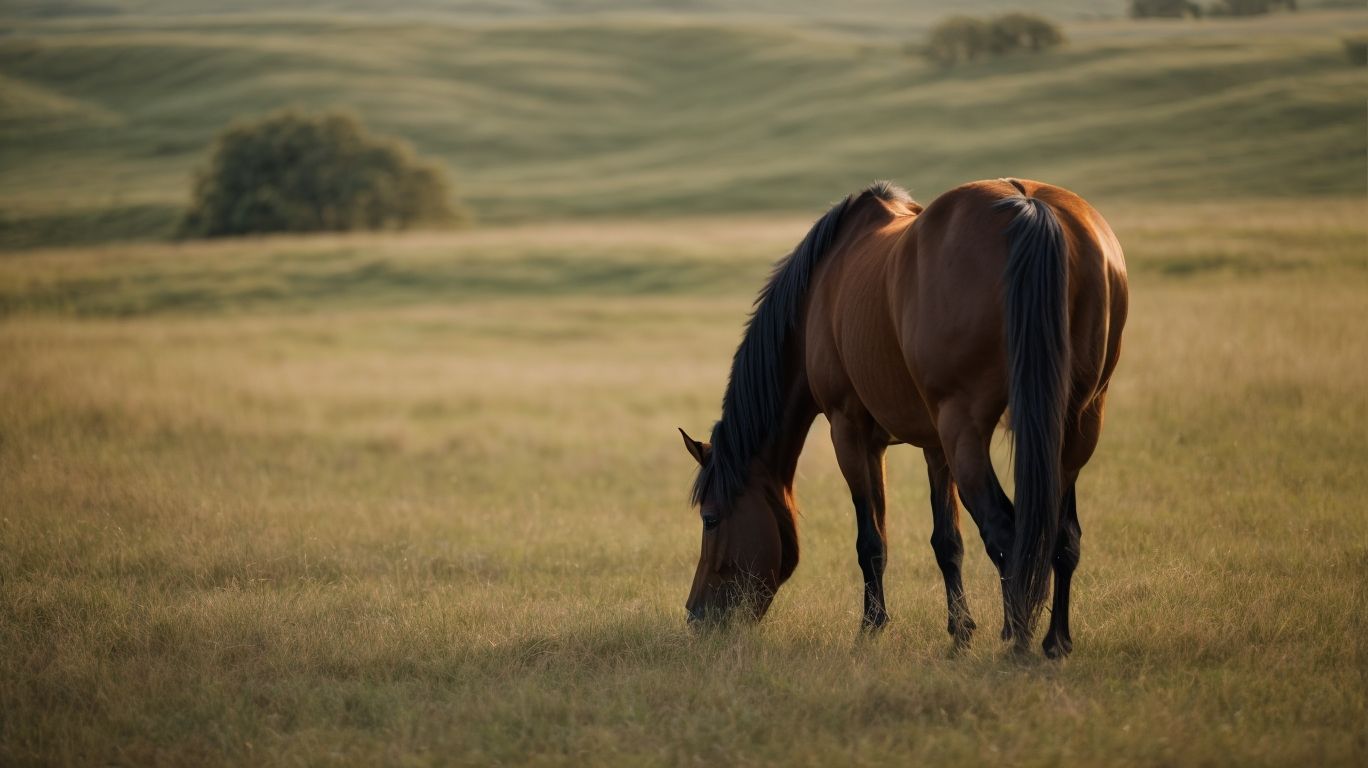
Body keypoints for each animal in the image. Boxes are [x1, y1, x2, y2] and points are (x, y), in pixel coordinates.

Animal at [678, 178, 1127, 657]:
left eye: (710, 519)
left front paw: (871, 627)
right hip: (1074, 424)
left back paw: (1018, 646)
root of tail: (1027, 204)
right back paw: (1055, 642)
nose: (696, 614)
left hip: (966, 432)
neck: (819, 291)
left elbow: (871, 541)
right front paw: (960, 633)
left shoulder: (851, 433)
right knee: (1062, 538)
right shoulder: (933, 444)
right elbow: (947, 542)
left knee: (1008, 535)